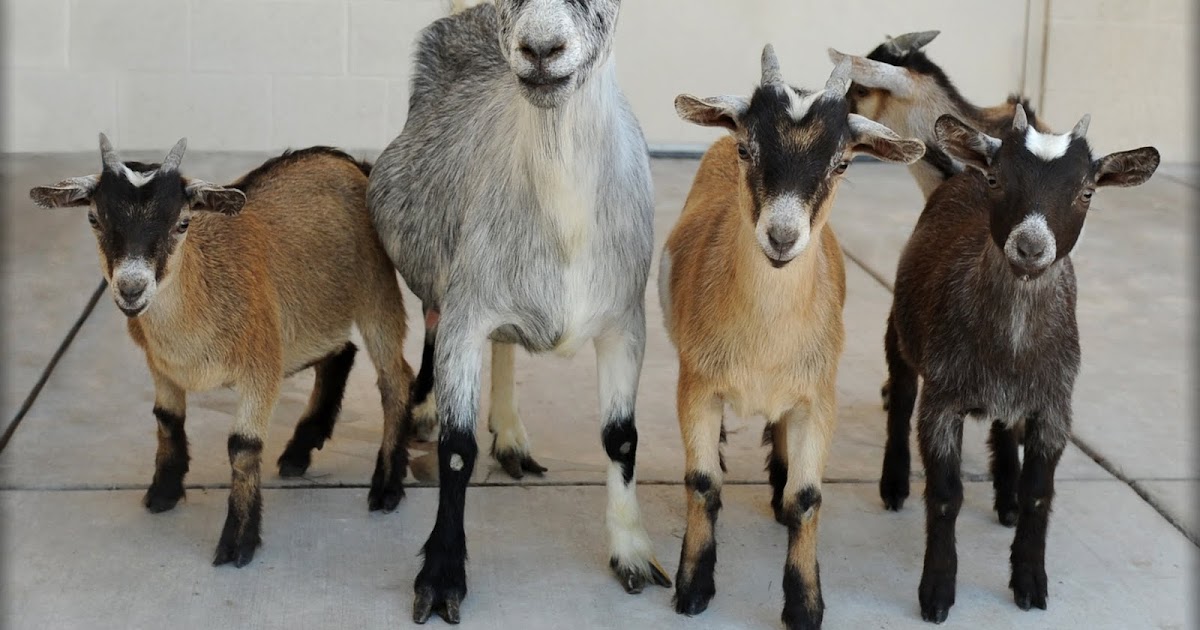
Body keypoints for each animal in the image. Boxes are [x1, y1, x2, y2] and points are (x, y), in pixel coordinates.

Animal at [30, 136, 414, 568]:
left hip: (376, 289)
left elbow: (243, 447)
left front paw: (238, 541)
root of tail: (349, 162)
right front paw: (163, 492)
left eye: (182, 223)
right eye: (94, 218)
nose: (131, 288)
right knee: (341, 352)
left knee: (395, 378)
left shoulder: (262, 366)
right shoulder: (160, 364)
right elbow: (166, 419)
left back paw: (386, 487)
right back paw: (300, 450)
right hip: (309, 319)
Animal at [367, 0, 667, 622]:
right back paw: (426, 406)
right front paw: (441, 577)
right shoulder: (467, 308)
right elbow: (458, 453)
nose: (541, 49)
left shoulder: (626, 323)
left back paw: (509, 435)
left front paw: (631, 553)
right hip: (441, 271)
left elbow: (621, 438)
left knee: (504, 344)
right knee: (432, 322)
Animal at [662, 48, 925, 629]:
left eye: (842, 163)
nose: (782, 237)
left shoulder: (817, 396)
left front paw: (804, 604)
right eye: (747, 148)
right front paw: (693, 587)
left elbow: (809, 498)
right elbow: (701, 483)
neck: (764, 344)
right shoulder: (696, 385)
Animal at [882, 107, 1158, 622]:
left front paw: (1030, 581)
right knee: (900, 395)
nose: (1030, 248)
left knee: (1005, 423)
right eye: (997, 179)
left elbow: (1038, 493)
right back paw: (893, 485)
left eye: (1087, 191)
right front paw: (937, 592)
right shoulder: (942, 402)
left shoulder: (1054, 407)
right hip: (900, 330)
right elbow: (945, 496)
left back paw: (1006, 495)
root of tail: (959, 172)